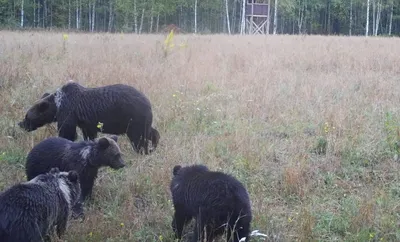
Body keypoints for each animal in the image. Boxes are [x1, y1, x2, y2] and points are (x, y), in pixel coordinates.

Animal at [18, 80, 159, 154]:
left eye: (27, 116)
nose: (20, 124)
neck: (57, 106)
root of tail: (148, 101)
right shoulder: (86, 123)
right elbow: (89, 134)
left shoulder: (69, 112)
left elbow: (67, 132)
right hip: (139, 120)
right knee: (149, 132)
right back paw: (154, 145)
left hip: (133, 118)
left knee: (139, 138)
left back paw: (143, 151)